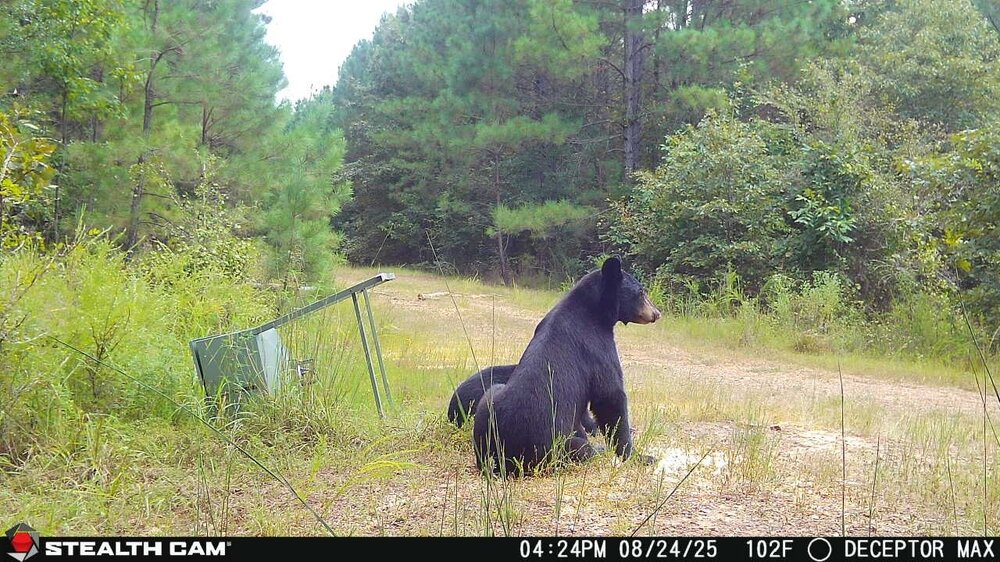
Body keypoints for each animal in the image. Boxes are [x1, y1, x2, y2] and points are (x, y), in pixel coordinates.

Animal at [472, 256, 661, 475]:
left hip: (488, 401)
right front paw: (639, 455)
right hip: (557, 446)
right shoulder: (597, 348)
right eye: (641, 292)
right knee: (582, 448)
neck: (595, 311)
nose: (657, 313)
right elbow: (610, 397)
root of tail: (504, 457)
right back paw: (598, 449)